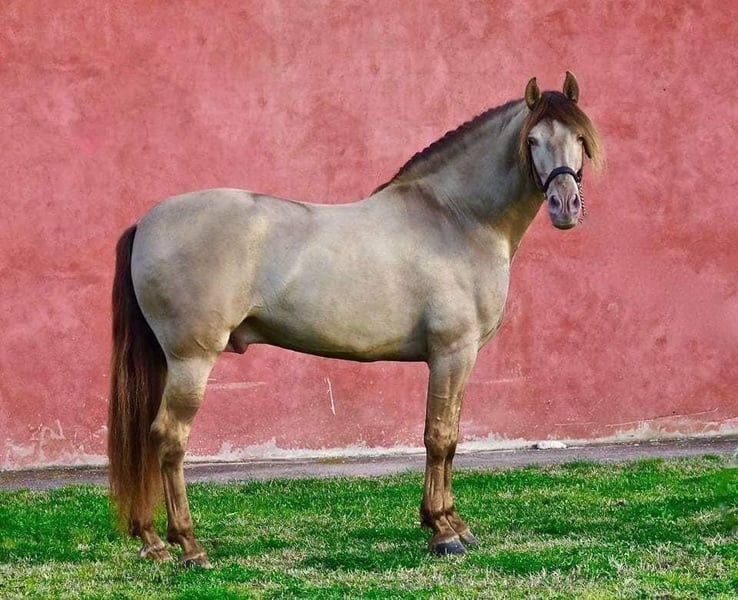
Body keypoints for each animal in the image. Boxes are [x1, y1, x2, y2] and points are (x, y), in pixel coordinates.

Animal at [108, 72, 603, 566]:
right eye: (533, 140)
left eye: (579, 138)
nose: (564, 206)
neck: (456, 218)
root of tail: (147, 222)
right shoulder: (452, 353)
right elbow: (439, 437)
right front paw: (444, 532)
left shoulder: (458, 360)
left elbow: (451, 438)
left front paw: (453, 523)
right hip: (191, 360)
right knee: (169, 439)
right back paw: (188, 545)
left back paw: (152, 542)